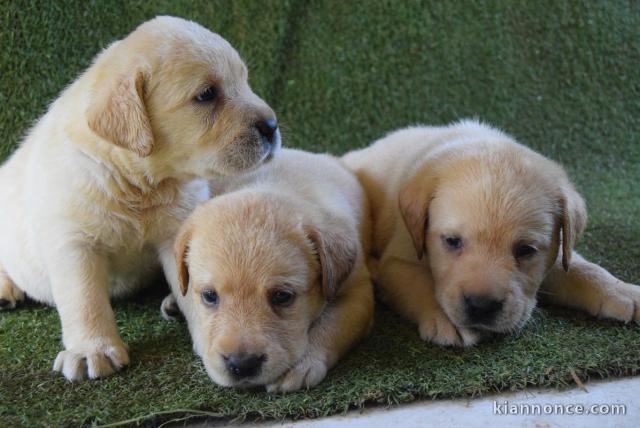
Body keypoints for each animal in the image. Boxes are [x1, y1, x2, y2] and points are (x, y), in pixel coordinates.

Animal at [0, 15, 280, 382]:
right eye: (207, 95)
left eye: (245, 81)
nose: (272, 126)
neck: (139, 183)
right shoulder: (73, 242)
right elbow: (84, 298)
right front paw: (92, 350)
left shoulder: (178, 232)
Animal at [158, 149, 376, 392]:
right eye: (209, 296)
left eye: (282, 296)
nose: (242, 364)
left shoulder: (357, 291)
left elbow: (330, 327)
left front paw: (300, 364)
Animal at [344, 118, 640, 346]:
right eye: (452, 241)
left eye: (526, 250)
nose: (481, 306)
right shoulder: (399, 257)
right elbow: (419, 282)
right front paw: (445, 317)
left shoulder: (555, 252)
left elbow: (581, 268)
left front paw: (621, 290)